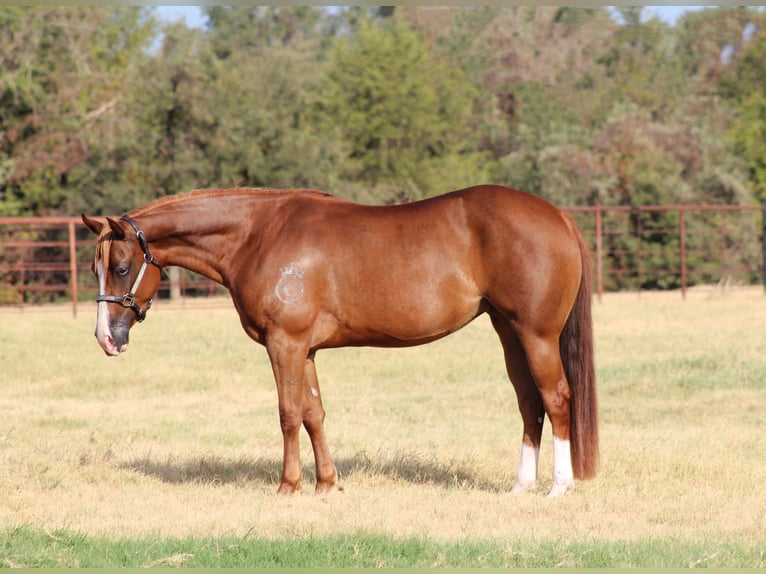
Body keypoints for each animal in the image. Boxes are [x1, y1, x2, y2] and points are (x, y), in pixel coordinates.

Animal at [82, 184, 598, 497]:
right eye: (95, 267)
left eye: (122, 267)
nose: (106, 338)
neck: (258, 235)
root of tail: (558, 216)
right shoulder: (305, 350)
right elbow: (314, 414)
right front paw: (327, 484)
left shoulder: (285, 345)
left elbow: (289, 414)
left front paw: (288, 486)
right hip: (508, 332)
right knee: (529, 402)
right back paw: (521, 486)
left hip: (536, 335)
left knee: (557, 397)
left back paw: (559, 487)